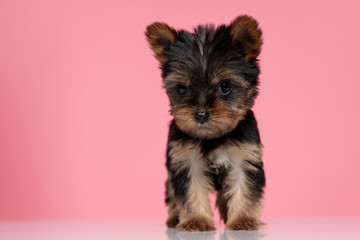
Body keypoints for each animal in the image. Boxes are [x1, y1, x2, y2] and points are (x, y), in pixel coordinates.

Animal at [145, 14, 266, 231]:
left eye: (225, 86)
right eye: (181, 89)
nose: (201, 114)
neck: (212, 137)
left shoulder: (244, 157)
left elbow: (244, 188)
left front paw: (243, 220)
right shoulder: (185, 160)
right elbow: (191, 191)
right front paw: (196, 221)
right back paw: (175, 218)